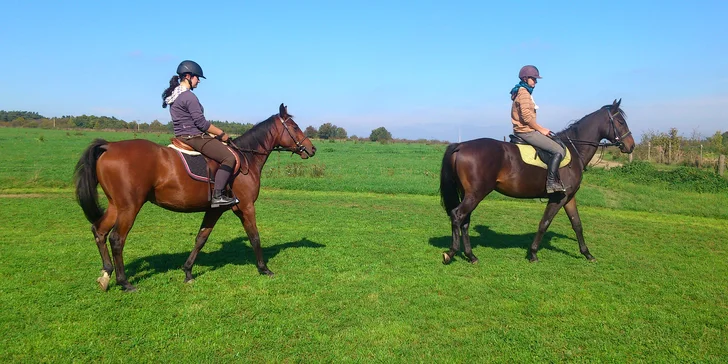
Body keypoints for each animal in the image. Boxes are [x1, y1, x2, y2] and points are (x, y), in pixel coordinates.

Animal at [75, 104, 318, 292]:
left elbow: (201, 238)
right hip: (129, 207)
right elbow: (255, 237)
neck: (246, 158)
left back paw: (105, 274)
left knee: (99, 231)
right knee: (117, 239)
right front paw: (264, 268)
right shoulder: (246, 207)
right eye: (294, 127)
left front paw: (188, 272)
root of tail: (109, 146)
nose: (312, 148)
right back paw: (124, 282)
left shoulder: (214, 209)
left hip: (115, 205)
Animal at [440, 99, 636, 264]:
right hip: (476, 194)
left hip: (469, 194)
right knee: (457, 215)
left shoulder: (569, 197)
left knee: (465, 220)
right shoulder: (558, 198)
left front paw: (587, 253)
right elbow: (544, 223)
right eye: (620, 122)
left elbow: (577, 224)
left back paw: (471, 256)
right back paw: (451, 253)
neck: (574, 150)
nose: (631, 145)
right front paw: (533, 253)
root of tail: (461, 145)